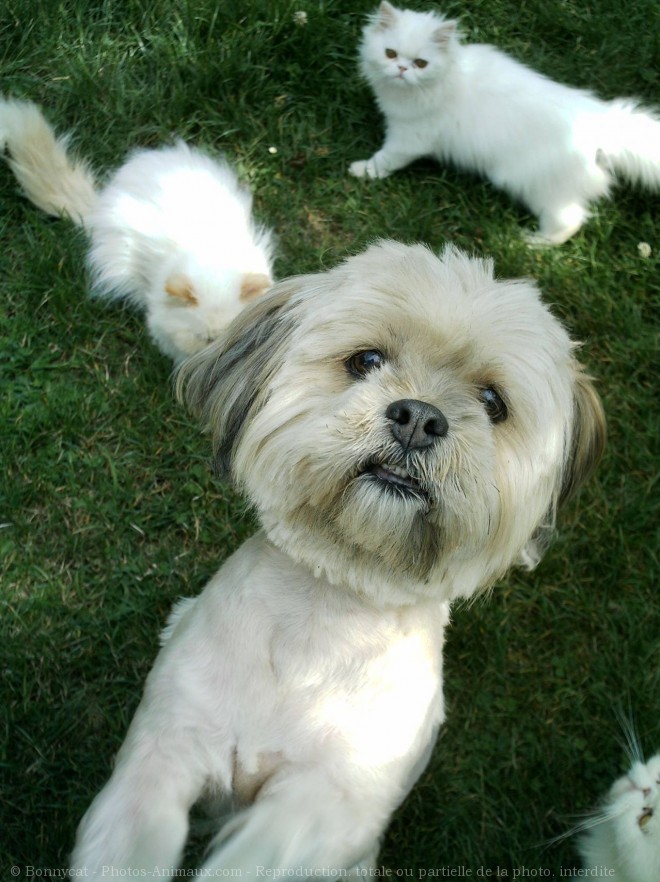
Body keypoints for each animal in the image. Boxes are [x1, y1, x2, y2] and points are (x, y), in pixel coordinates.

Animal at [69, 241, 604, 872]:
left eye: (493, 402)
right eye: (365, 361)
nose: (419, 417)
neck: (322, 619)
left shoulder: (334, 797)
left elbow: (263, 853)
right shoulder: (168, 744)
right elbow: (126, 840)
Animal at [350, 1, 660, 244]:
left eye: (421, 64)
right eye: (390, 54)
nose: (401, 69)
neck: (450, 76)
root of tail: (602, 122)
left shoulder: (409, 138)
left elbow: (384, 160)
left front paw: (362, 170)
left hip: (535, 185)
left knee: (569, 221)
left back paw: (532, 243)